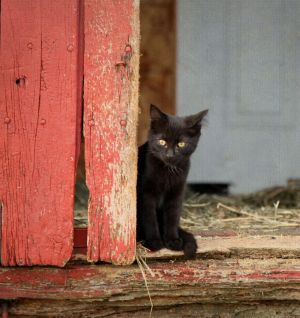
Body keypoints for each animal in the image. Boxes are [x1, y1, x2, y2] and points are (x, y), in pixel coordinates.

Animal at [137, 104, 209, 258]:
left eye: (181, 144)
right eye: (162, 141)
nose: (170, 155)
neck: (167, 172)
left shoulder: (177, 191)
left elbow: (172, 216)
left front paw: (172, 240)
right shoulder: (146, 193)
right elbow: (149, 217)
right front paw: (154, 242)